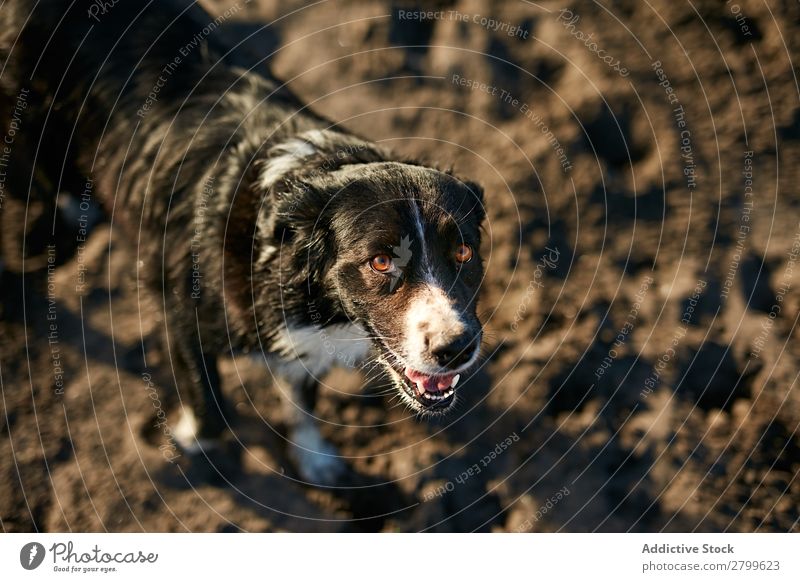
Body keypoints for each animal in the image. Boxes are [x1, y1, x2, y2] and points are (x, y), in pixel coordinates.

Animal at [0, 0, 484, 486]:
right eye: (381, 262)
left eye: (464, 254)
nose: (457, 348)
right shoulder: (180, 311)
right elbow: (211, 408)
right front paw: (187, 446)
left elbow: (301, 398)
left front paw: (312, 457)